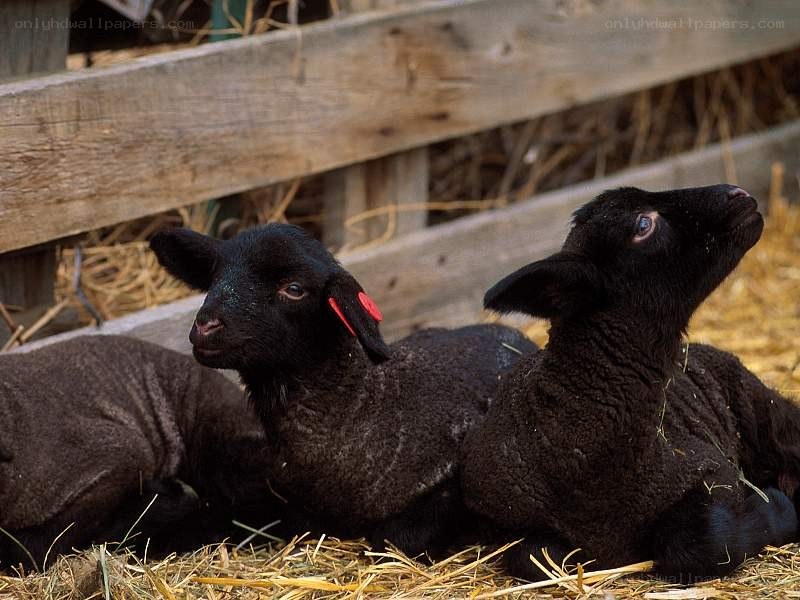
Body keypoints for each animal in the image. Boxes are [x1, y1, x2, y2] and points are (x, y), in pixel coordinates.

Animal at [149, 223, 536, 558]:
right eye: (215, 276)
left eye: (294, 288)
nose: (205, 325)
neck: (361, 407)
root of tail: (515, 335)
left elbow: (393, 538)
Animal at [461, 184, 800, 583]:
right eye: (642, 225)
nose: (739, 194)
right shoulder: (505, 528)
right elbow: (535, 557)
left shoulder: (713, 469)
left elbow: (704, 543)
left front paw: (777, 508)